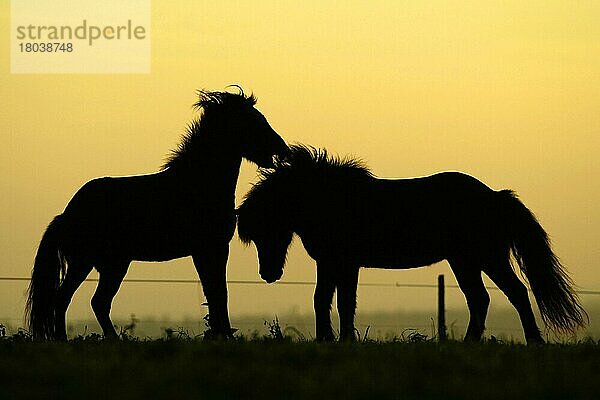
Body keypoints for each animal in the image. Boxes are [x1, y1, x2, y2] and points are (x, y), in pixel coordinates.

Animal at [27, 88, 290, 340]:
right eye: (253, 120)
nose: (282, 150)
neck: (197, 184)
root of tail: (66, 215)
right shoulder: (208, 249)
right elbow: (218, 292)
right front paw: (224, 334)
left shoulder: (210, 250)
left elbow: (215, 292)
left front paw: (219, 333)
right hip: (88, 262)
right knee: (67, 299)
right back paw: (65, 339)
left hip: (111, 264)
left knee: (97, 302)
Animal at [238, 145, 584, 342]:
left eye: (266, 229)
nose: (268, 274)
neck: (331, 199)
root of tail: (495, 196)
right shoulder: (336, 263)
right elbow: (331, 301)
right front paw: (337, 339)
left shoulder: (340, 262)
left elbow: (333, 301)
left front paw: (333, 340)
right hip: (467, 261)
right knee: (486, 298)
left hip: (484, 258)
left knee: (510, 294)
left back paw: (529, 342)